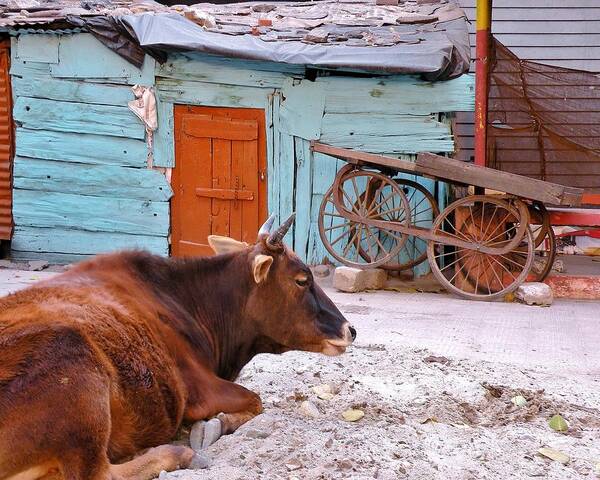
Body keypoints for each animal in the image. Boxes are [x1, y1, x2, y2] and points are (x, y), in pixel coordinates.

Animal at [0, 217, 356, 480]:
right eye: (302, 280)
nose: (349, 330)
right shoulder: (200, 389)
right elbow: (255, 400)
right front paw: (212, 427)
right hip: (76, 366)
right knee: (97, 473)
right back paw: (177, 453)